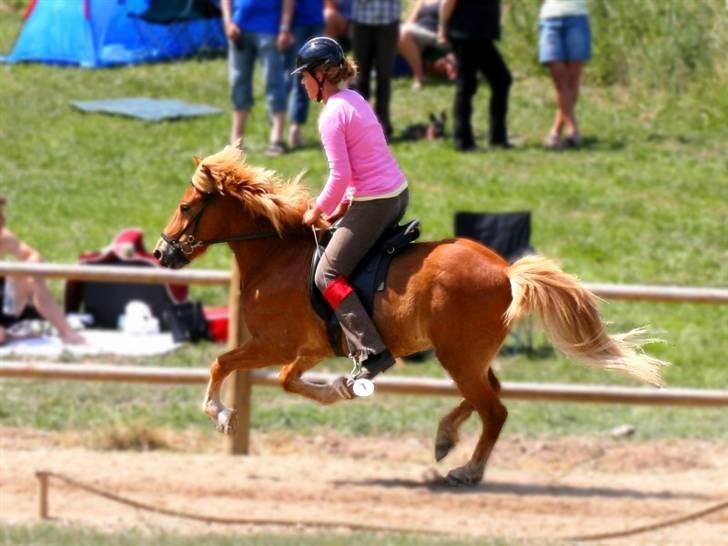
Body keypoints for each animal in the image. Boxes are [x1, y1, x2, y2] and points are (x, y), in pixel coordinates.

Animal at [154, 142, 664, 482]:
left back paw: (468, 470)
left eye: (186, 205)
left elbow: (222, 362)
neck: (277, 253)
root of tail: (505, 271)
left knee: (494, 409)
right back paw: (445, 438)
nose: (162, 252)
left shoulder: (273, 343)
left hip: (457, 355)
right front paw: (339, 389)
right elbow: (287, 381)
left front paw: (221, 413)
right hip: (468, 355)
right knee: (488, 395)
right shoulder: (308, 349)